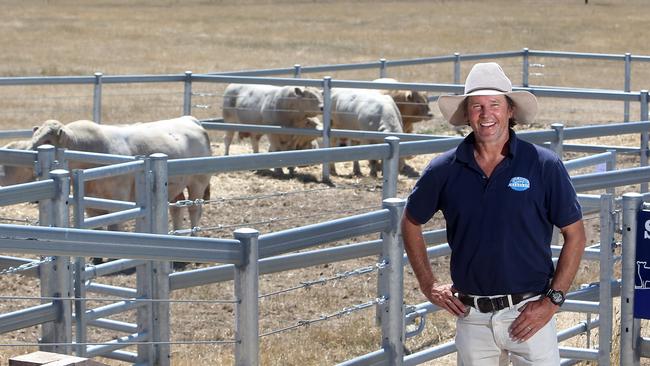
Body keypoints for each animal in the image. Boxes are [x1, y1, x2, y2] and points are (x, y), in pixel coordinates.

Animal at [30, 116, 210, 233]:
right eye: (34, 137)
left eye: (47, 141)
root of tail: (191, 120)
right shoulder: (90, 203)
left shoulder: (118, 199)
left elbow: (114, 227)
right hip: (175, 186)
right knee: (177, 208)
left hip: (198, 182)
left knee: (195, 209)